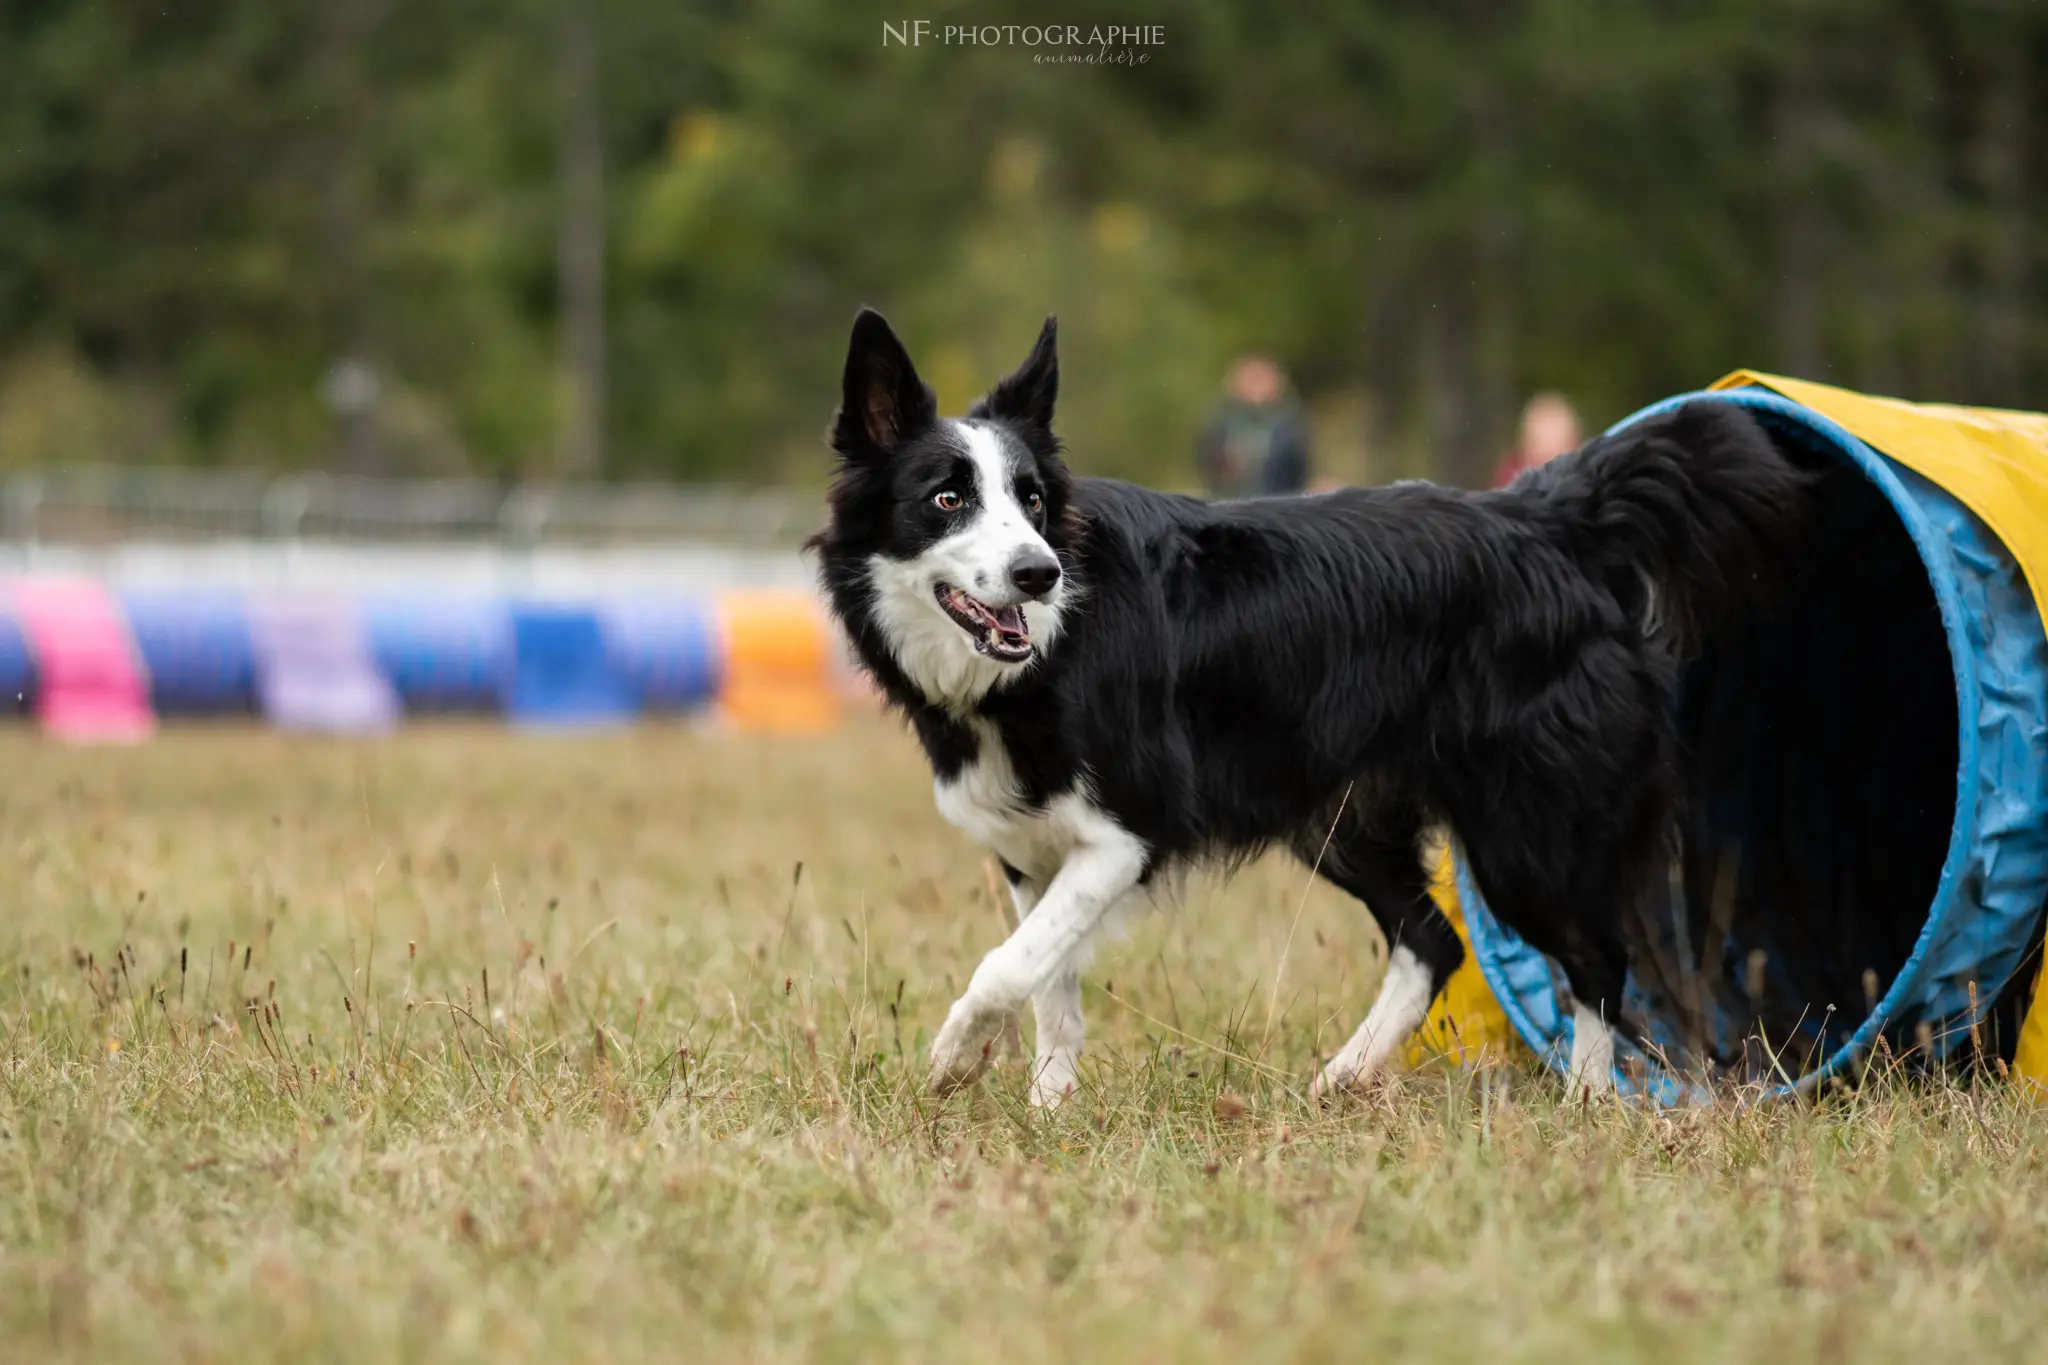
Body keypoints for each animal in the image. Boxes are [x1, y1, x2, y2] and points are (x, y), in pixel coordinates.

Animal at [815, 304, 1810, 1105]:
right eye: (948, 497)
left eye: (1029, 500)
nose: (1039, 572)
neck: (1045, 655)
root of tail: (1547, 518)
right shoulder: (1033, 846)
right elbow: (1048, 982)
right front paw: (1049, 1108)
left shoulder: (1127, 830)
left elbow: (1006, 966)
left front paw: (954, 1057)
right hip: (1342, 820)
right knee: (1436, 942)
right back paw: (1345, 1077)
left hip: (1526, 826)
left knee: (1598, 958)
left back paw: (1587, 1105)